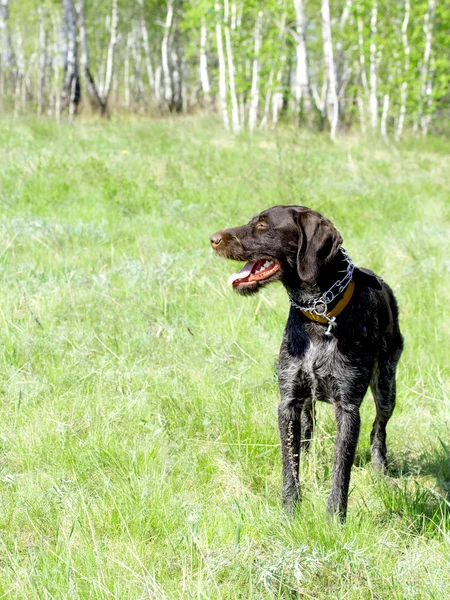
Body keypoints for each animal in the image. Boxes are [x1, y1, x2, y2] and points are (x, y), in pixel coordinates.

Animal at [211, 206, 404, 520]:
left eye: (263, 225)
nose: (213, 239)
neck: (320, 313)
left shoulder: (348, 408)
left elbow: (341, 469)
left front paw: (335, 518)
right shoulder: (289, 400)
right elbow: (290, 464)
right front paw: (290, 512)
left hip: (387, 384)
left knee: (379, 427)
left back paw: (380, 472)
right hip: (307, 400)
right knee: (308, 431)